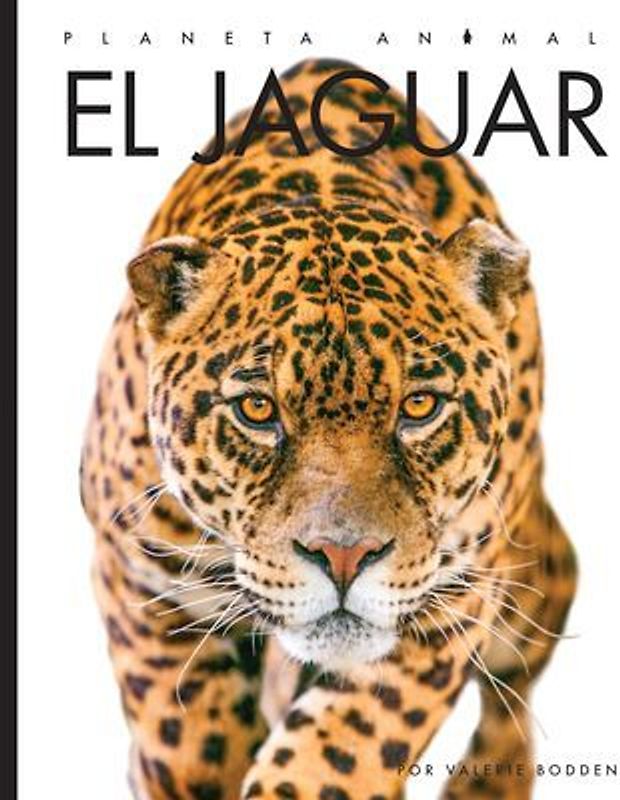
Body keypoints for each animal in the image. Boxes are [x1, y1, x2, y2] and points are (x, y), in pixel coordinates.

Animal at [80, 58, 578, 800]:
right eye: (258, 411)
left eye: (419, 407)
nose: (344, 558)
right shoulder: (141, 573)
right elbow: (185, 732)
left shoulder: (450, 599)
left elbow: (336, 753)